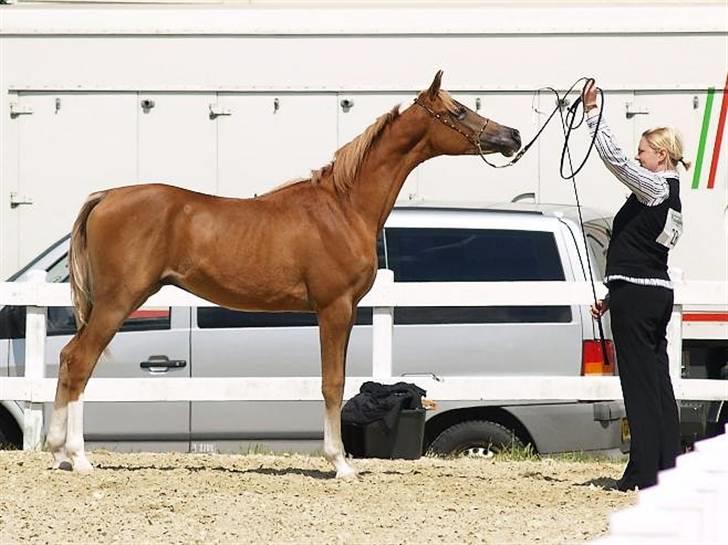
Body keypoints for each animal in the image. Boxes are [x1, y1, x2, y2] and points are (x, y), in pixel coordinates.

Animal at [48, 71, 520, 476]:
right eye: (458, 111)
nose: (511, 136)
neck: (344, 207)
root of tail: (107, 196)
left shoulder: (343, 311)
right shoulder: (334, 308)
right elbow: (333, 383)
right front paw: (340, 463)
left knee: (70, 359)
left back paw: (57, 452)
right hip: (118, 301)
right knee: (80, 361)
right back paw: (78, 457)